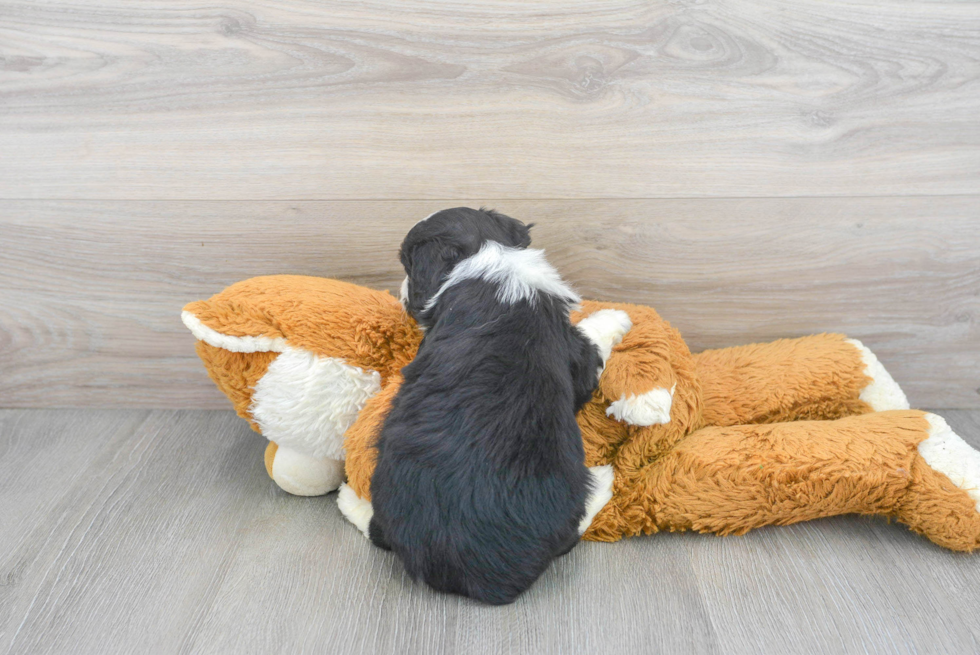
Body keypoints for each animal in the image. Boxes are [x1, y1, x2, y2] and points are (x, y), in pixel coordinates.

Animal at [366, 209, 628, 604]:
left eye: (407, 266)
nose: (400, 292)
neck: (486, 255)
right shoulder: (577, 357)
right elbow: (592, 342)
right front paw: (618, 317)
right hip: (567, 492)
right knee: (572, 530)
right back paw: (603, 480)